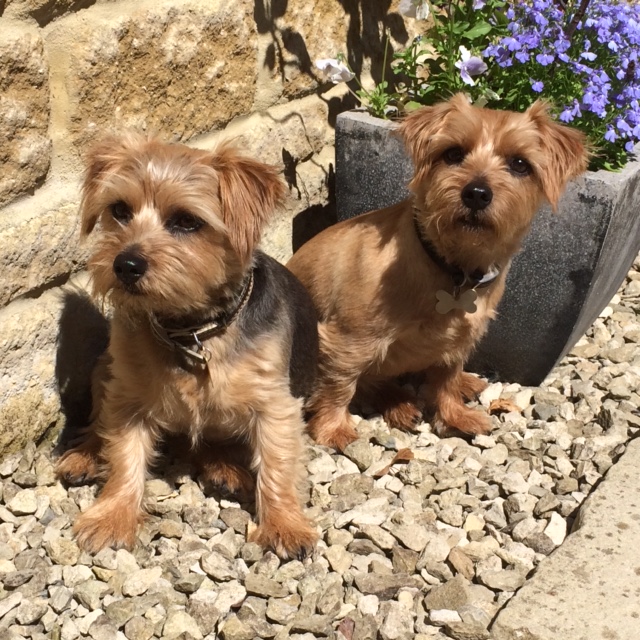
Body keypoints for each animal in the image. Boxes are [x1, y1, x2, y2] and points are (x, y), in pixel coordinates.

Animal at [57, 132, 320, 556]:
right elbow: (124, 455)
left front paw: (284, 524)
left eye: (186, 221)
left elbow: (277, 464)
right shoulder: (127, 399)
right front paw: (113, 515)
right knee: (101, 424)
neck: (191, 328)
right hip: (104, 367)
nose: (125, 264)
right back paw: (83, 456)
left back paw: (226, 470)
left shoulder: (275, 403)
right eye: (119, 210)